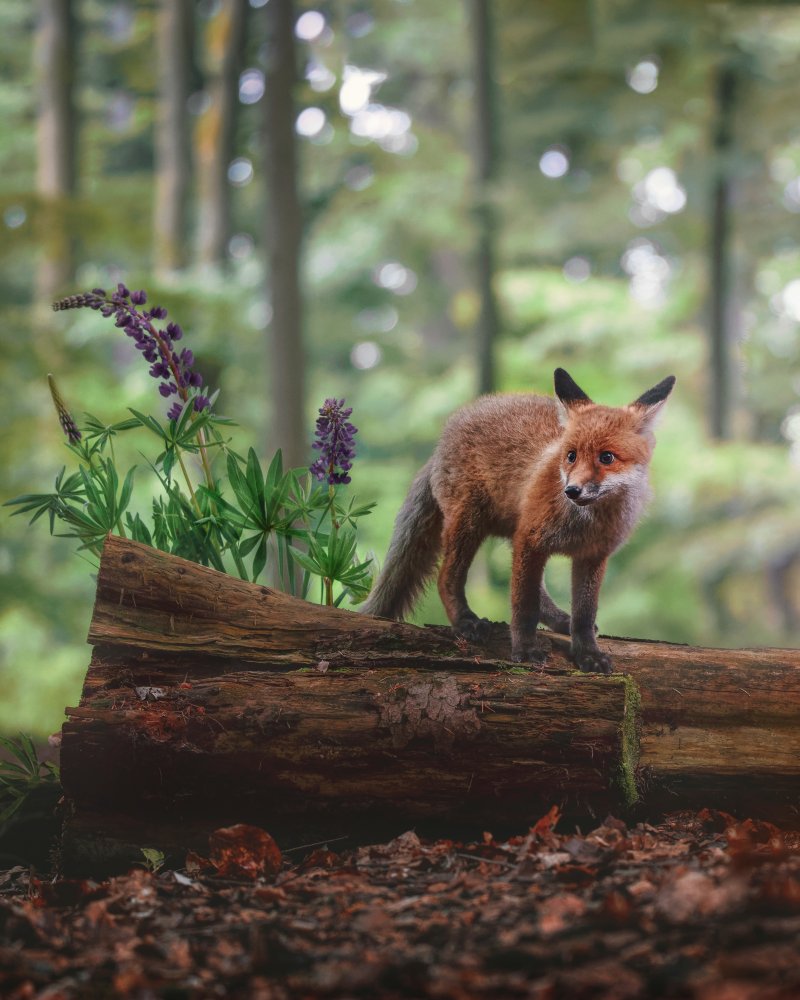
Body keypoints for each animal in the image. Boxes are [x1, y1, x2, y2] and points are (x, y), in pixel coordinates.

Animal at [361, 368, 675, 674]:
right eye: (571, 456)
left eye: (606, 457)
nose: (571, 491)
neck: (586, 523)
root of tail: (444, 437)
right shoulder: (531, 539)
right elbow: (524, 606)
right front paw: (525, 649)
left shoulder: (593, 555)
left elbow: (585, 615)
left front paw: (587, 653)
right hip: (470, 523)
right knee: (446, 577)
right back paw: (464, 621)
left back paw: (560, 620)